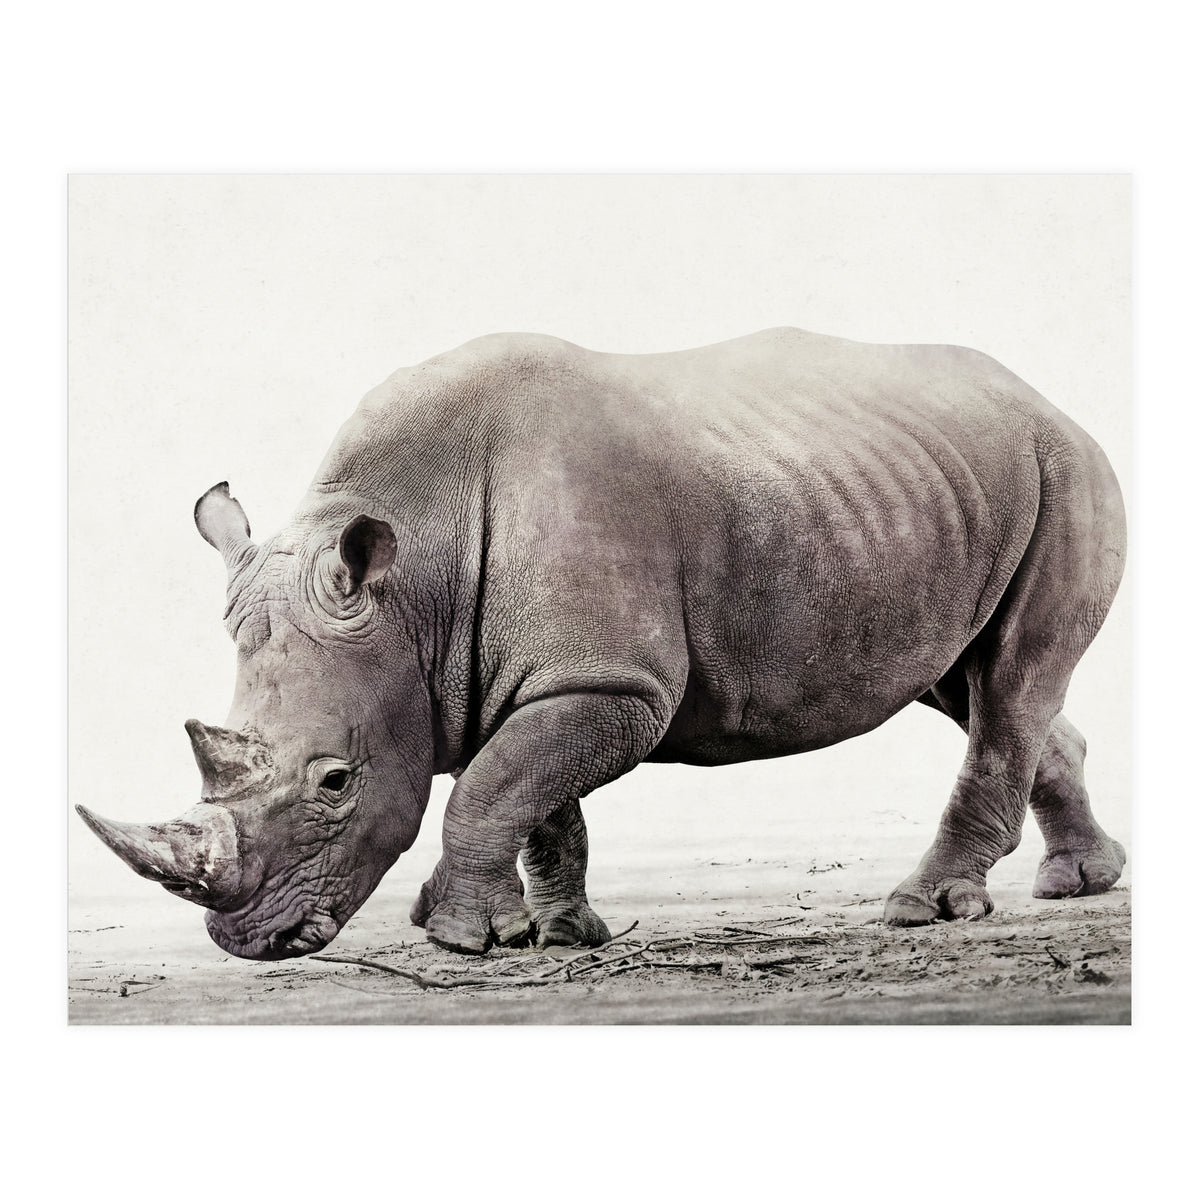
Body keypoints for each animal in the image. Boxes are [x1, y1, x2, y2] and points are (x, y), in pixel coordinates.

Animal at [77, 328, 1127, 959]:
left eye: (334, 782)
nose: (247, 941)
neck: (414, 583)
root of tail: (1046, 399)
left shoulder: (612, 682)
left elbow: (496, 785)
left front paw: (458, 939)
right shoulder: (543, 675)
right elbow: (536, 796)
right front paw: (559, 932)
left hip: (1066, 469)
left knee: (1009, 682)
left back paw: (926, 909)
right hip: (929, 490)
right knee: (971, 684)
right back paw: (1079, 884)